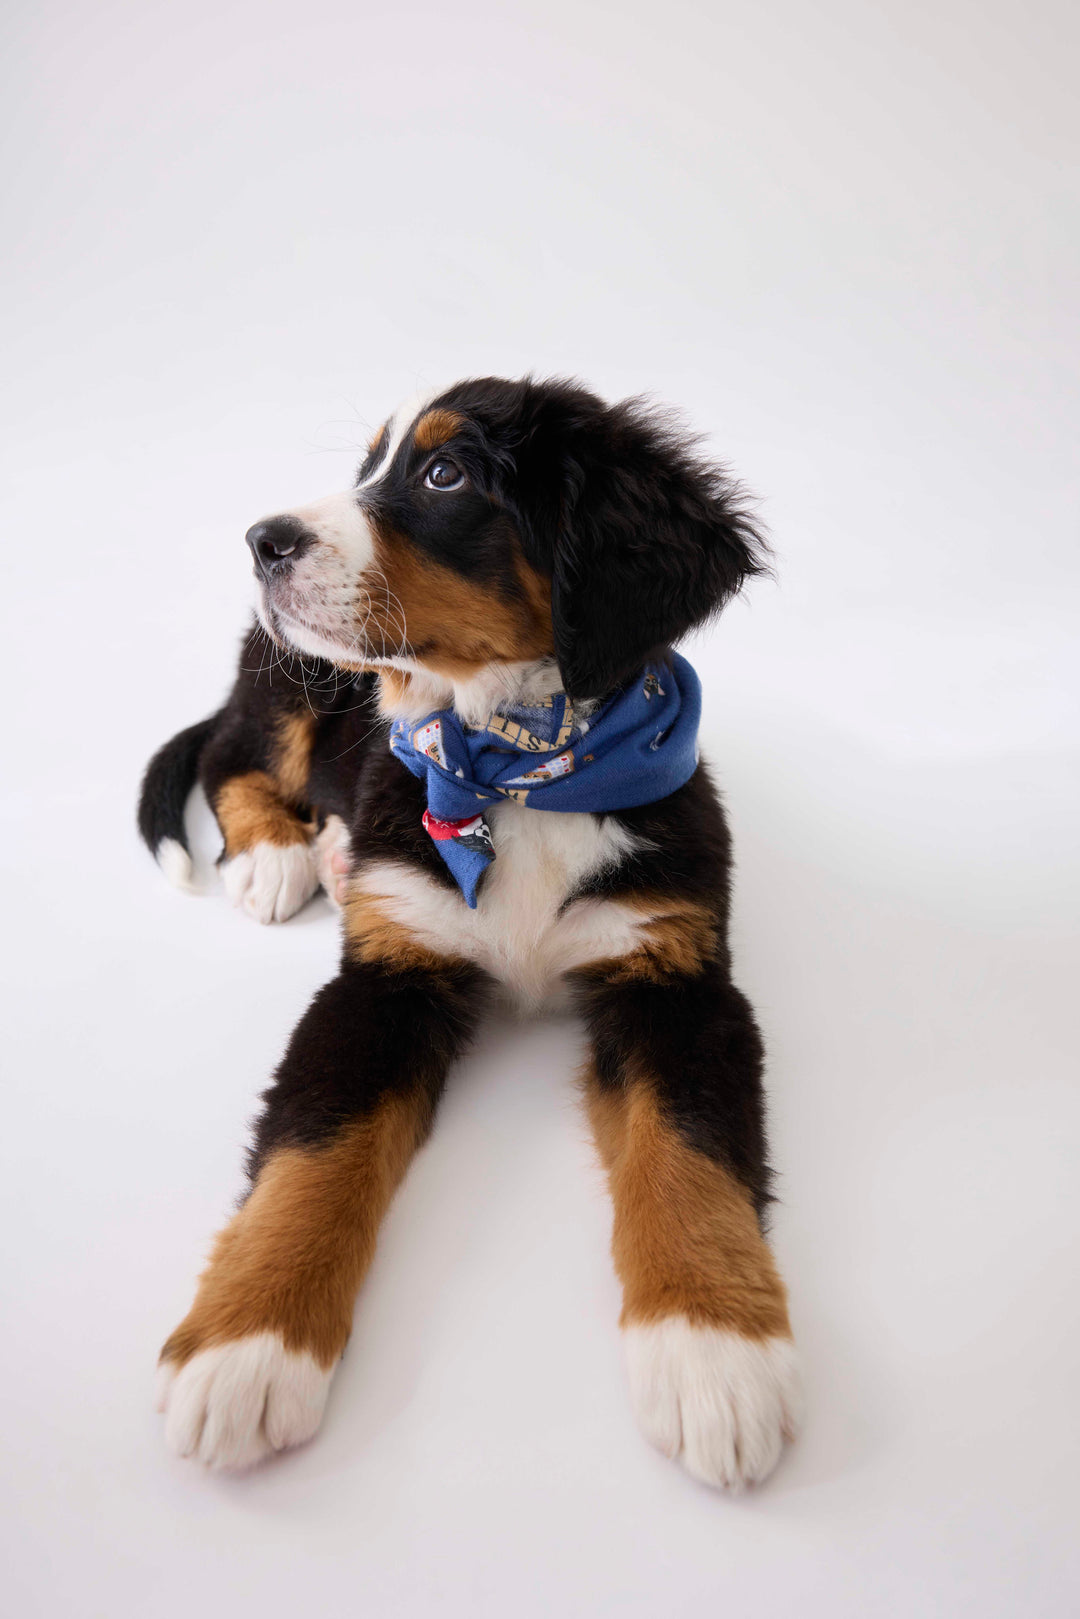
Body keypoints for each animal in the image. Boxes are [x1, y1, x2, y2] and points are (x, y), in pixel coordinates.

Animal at [139, 372, 803, 1483]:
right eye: (369, 462)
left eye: (445, 474)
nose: (262, 539)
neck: (515, 765)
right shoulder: (385, 975)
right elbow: (312, 1150)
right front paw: (246, 1344)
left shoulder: (674, 975)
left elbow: (694, 1149)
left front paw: (714, 1350)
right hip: (296, 677)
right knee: (235, 750)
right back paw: (284, 854)